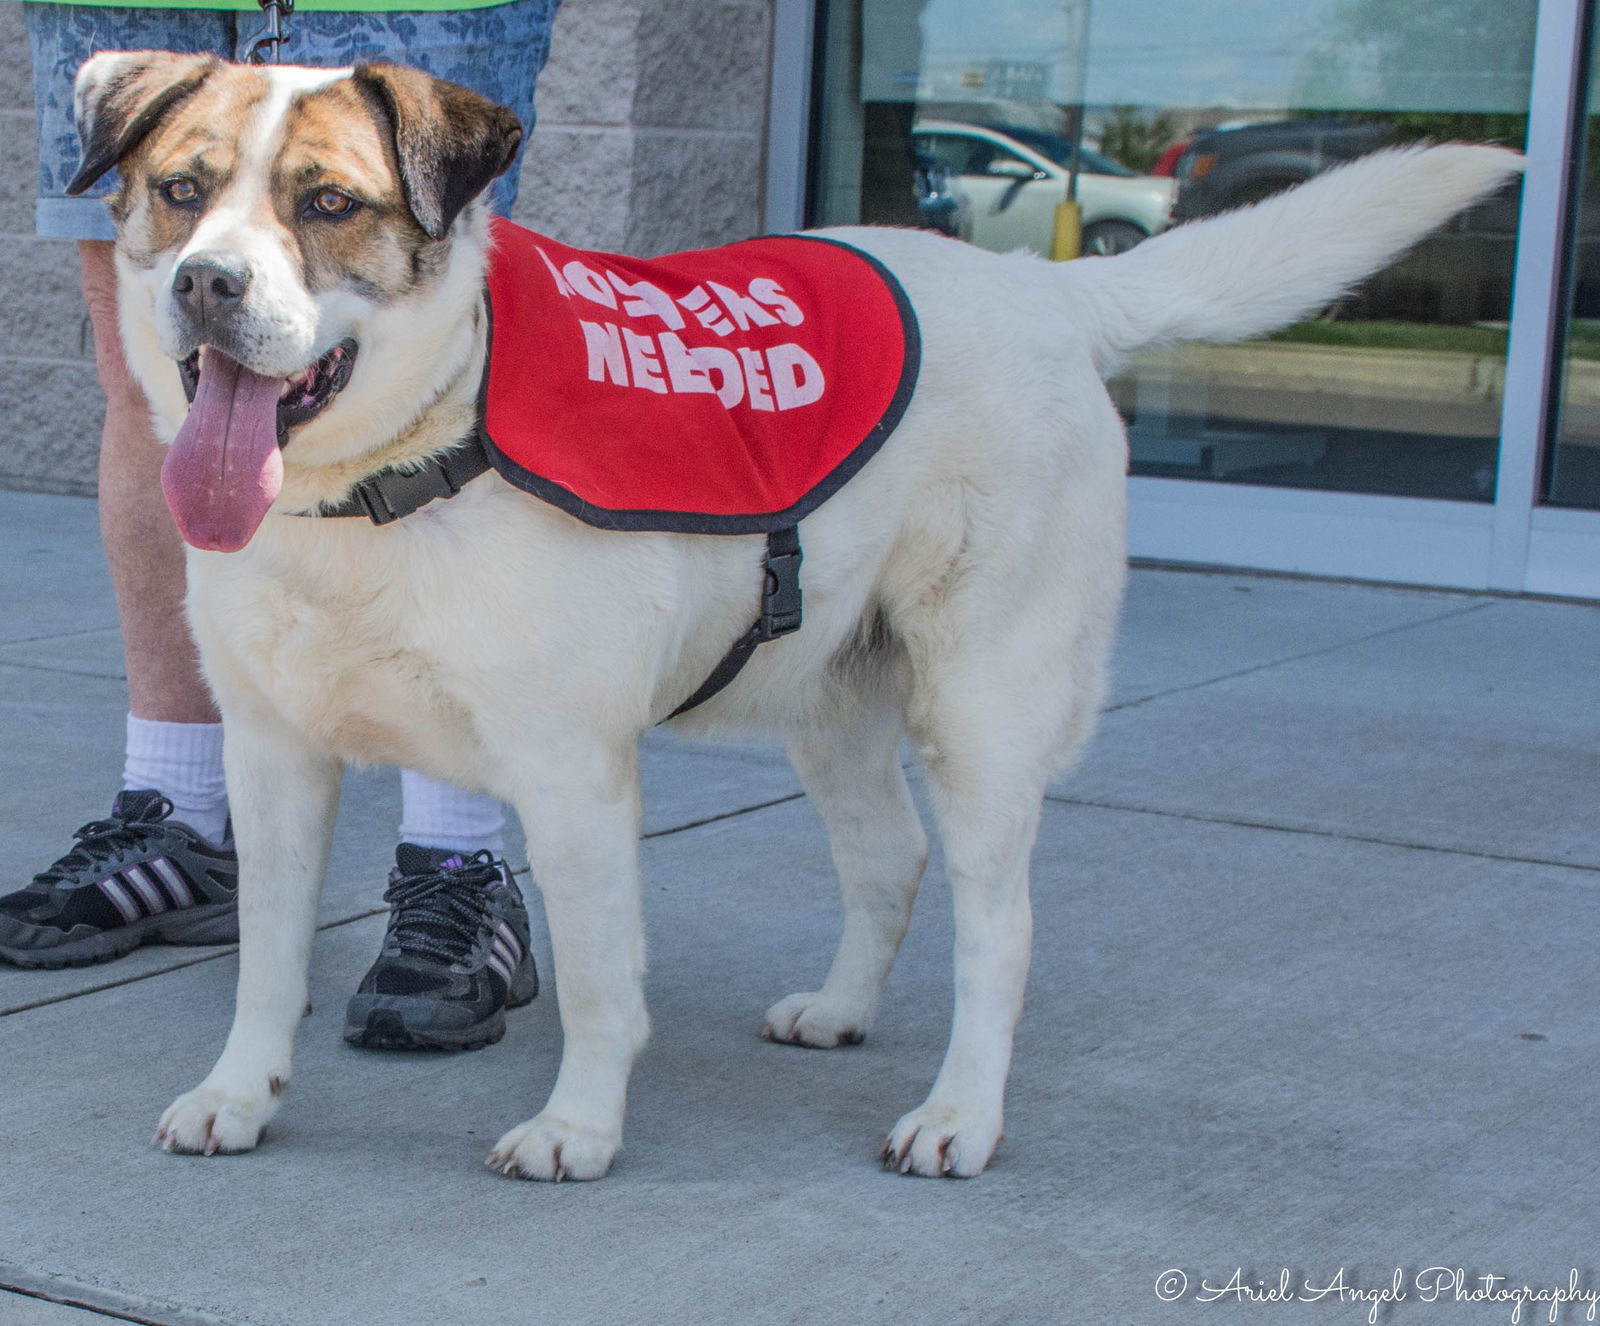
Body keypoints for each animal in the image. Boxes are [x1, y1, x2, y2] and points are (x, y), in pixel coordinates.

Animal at [75, 49, 1516, 1177]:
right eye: (184, 190)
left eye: (329, 203)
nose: (204, 284)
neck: (400, 473)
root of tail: (1048, 288)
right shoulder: (273, 756)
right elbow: (267, 956)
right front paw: (239, 1095)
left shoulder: (571, 770)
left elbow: (597, 977)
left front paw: (581, 1129)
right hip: (830, 701)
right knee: (890, 859)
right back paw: (841, 1008)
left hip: (981, 710)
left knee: (999, 924)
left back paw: (959, 1115)